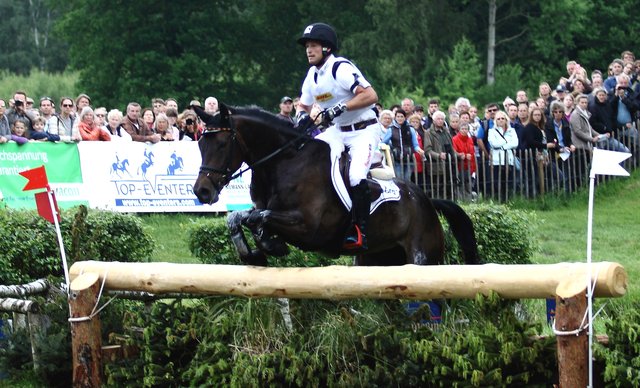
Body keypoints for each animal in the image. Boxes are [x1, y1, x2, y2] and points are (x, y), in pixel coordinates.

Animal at [192, 103, 478, 266]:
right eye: (200, 143)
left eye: (221, 144)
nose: (201, 191)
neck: (284, 161)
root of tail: (426, 200)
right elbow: (239, 218)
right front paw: (254, 253)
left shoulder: (309, 228)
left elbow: (258, 217)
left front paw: (269, 246)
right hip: (375, 259)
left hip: (422, 257)